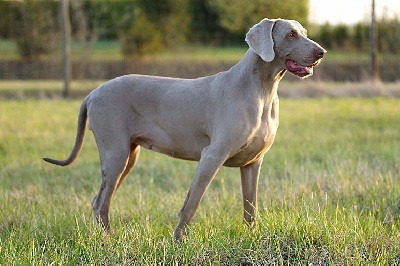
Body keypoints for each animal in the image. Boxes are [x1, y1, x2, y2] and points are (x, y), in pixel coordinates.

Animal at [44, 18, 324, 239]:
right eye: (290, 34)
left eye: (305, 32)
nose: (322, 52)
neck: (262, 89)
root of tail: (92, 93)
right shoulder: (212, 156)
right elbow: (191, 203)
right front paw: (178, 241)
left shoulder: (253, 163)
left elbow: (250, 206)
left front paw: (252, 237)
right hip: (116, 154)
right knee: (102, 201)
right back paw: (108, 240)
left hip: (128, 156)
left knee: (98, 200)